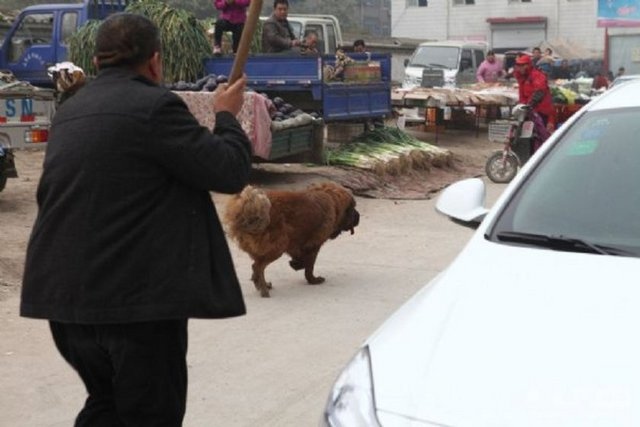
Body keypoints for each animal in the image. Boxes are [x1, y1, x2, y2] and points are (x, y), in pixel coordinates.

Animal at [225, 183, 358, 298]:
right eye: (353, 208)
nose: (358, 216)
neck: (332, 199)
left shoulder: (296, 244)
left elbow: (301, 259)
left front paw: (296, 264)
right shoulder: (314, 246)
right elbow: (309, 267)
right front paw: (312, 279)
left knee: (256, 268)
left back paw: (262, 284)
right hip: (278, 247)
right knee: (258, 267)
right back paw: (264, 289)